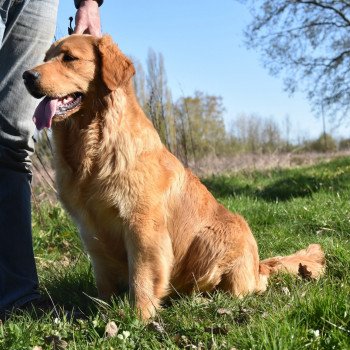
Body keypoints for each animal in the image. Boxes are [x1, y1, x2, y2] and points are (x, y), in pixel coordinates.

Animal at [23, 34, 326, 320]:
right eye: (46, 57)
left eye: (69, 58)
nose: (27, 76)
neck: (93, 145)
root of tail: (257, 263)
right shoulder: (90, 228)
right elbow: (104, 277)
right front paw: (103, 310)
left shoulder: (142, 225)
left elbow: (142, 275)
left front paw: (140, 317)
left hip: (219, 237)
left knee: (246, 286)